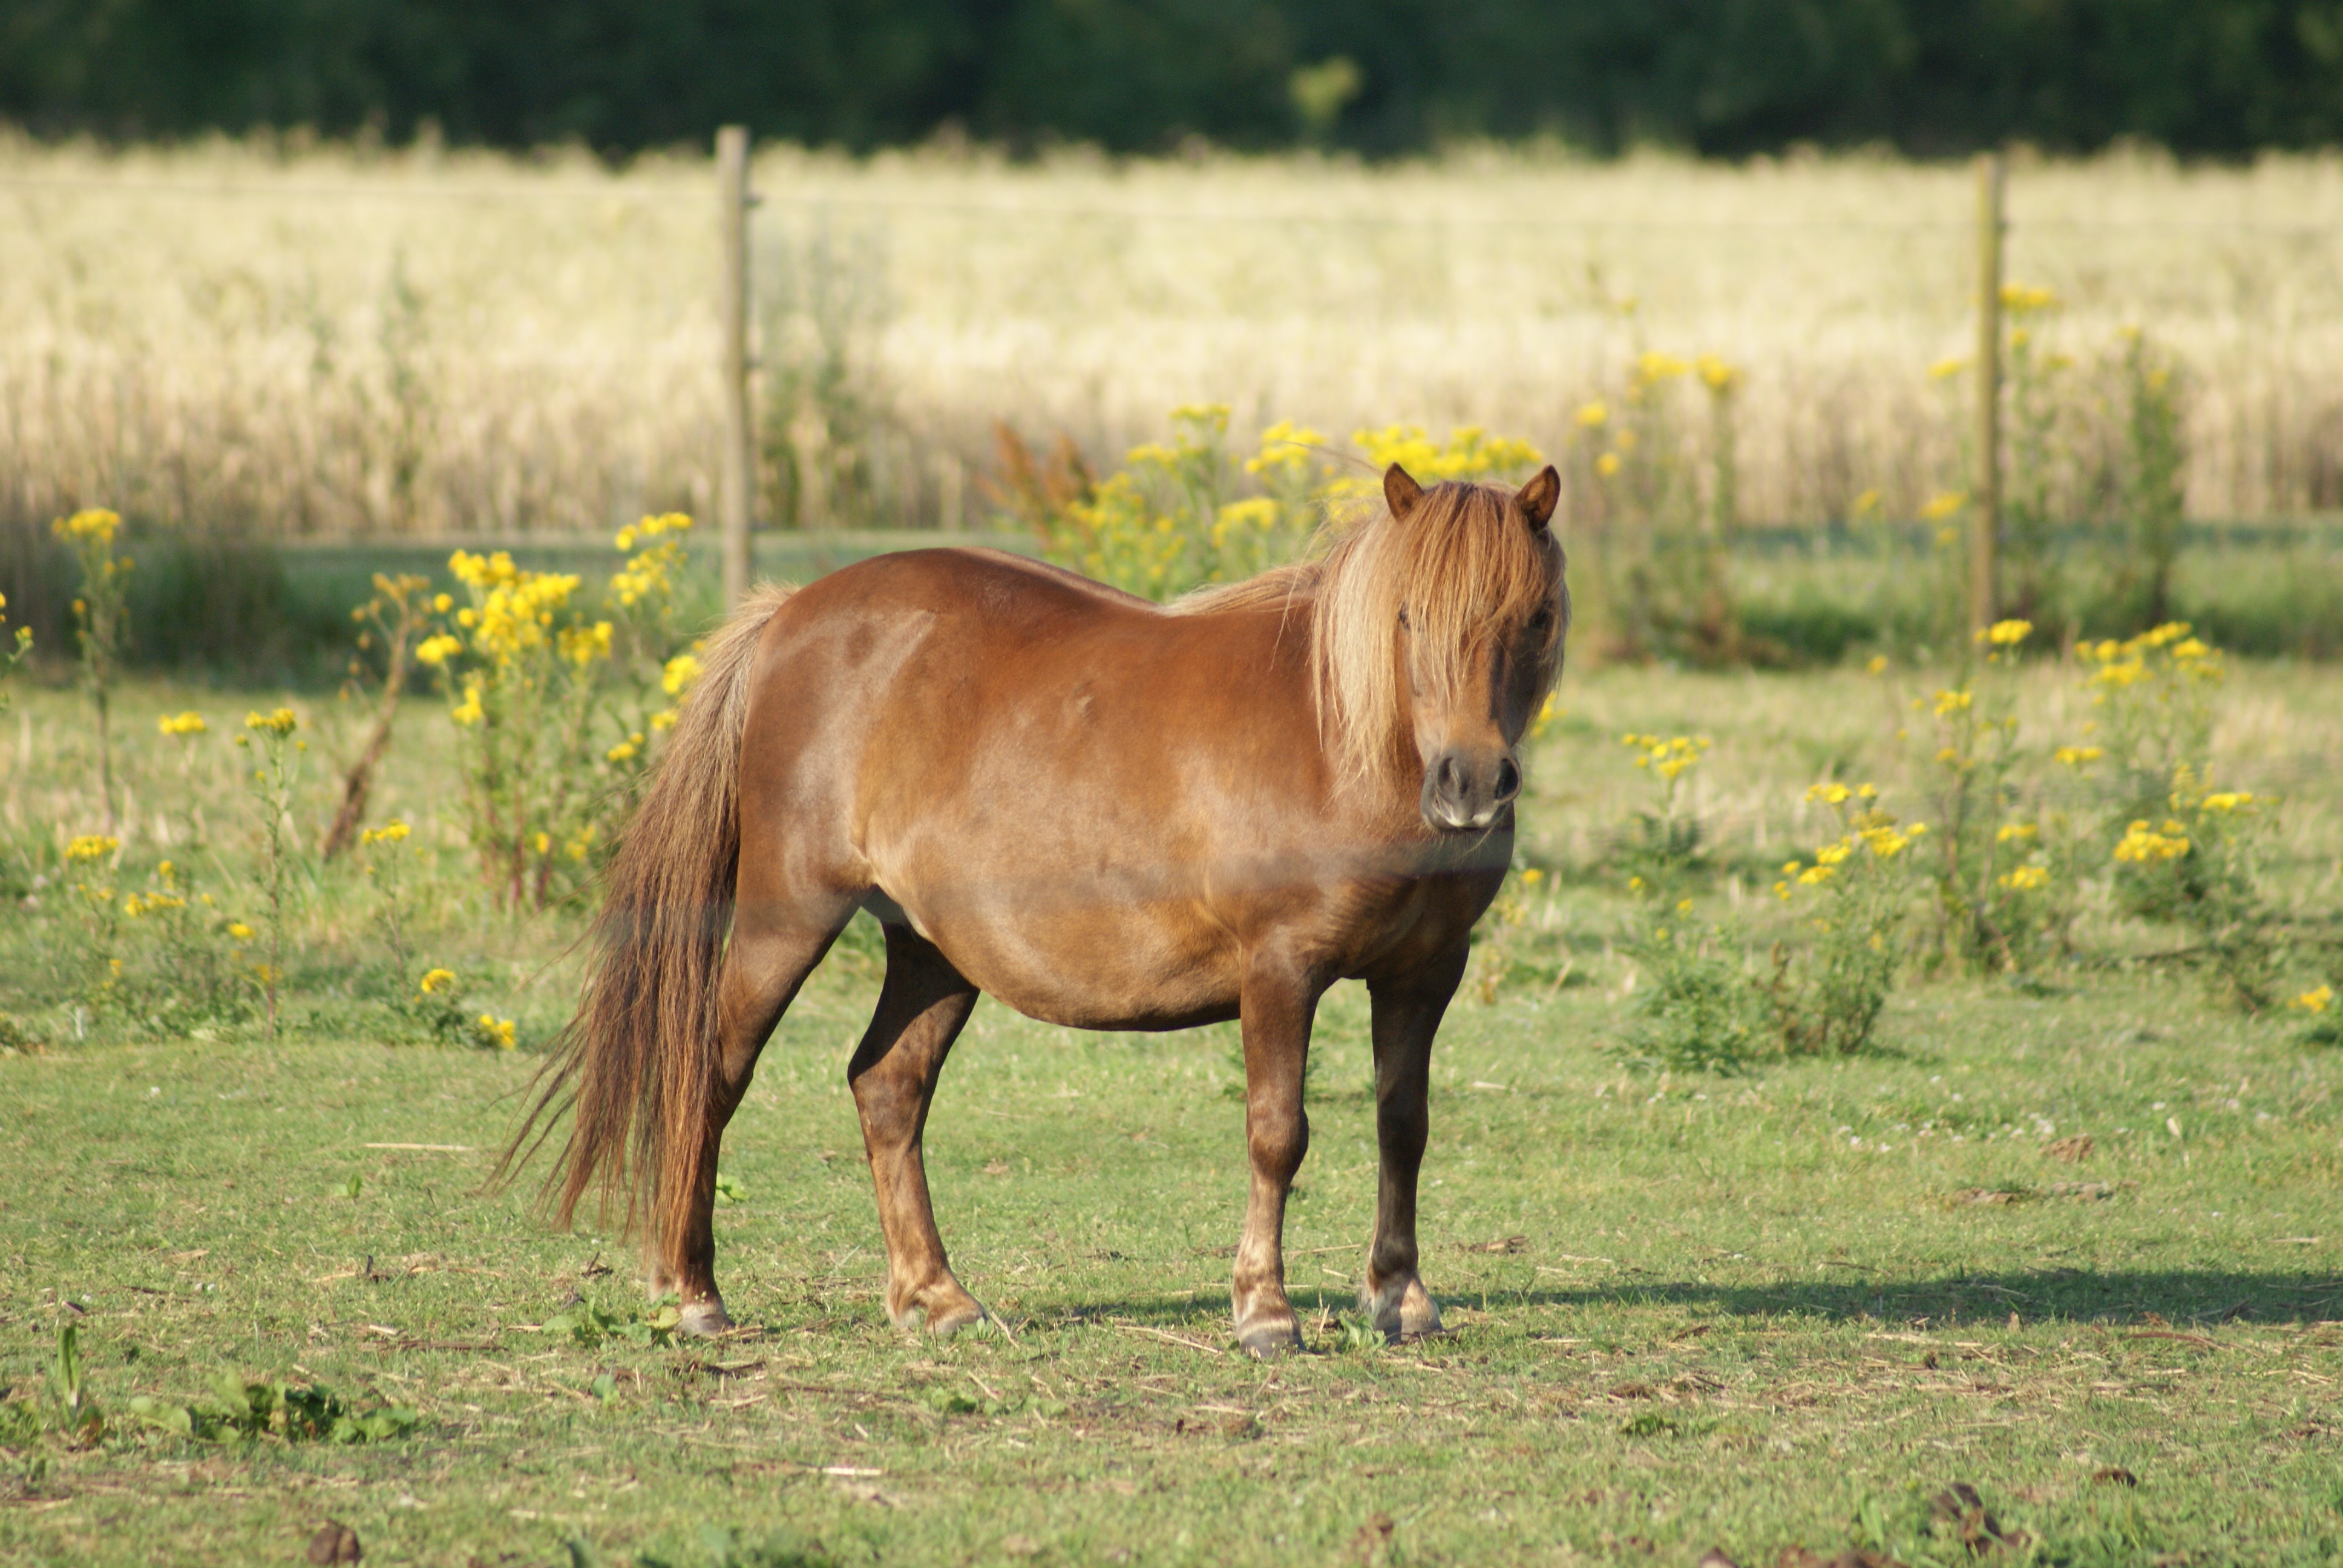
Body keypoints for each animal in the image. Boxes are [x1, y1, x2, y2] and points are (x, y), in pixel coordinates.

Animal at [501, 461, 1568, 1358]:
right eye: (1408, 616)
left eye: (1536, 615)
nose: (1471, 784)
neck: (1345, 741)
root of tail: (790, 613)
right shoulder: (1281, 971)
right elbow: (1278, 1132)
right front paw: (1265, 1311)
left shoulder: (1424, 975)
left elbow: (1403, 1126)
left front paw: (1401, 1298)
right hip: (785, 920)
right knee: (713, 1075)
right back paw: (694, 1293)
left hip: (931, 952)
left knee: (888, 1088)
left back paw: (936, 1297)